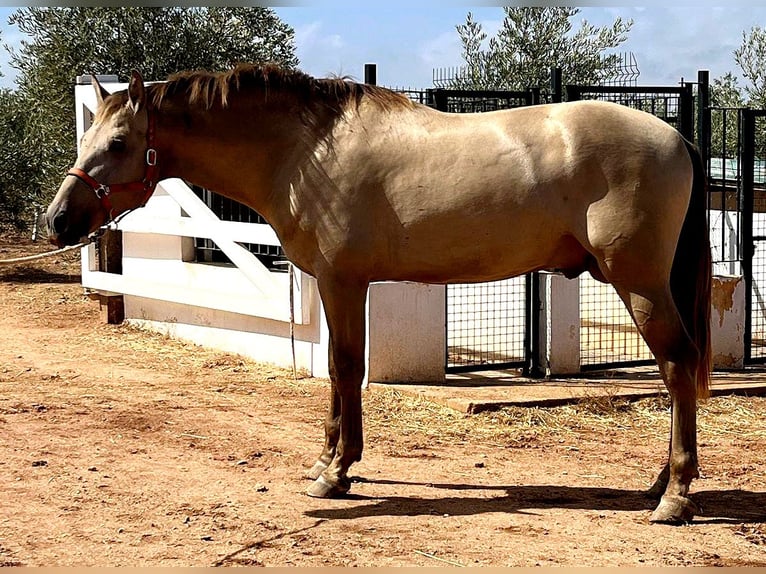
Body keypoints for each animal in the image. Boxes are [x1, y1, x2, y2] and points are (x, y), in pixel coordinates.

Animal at [43, 64, 712, 528]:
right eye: (89, 136)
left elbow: (344, 368)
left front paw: (335, 473)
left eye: (118, 143)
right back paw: (660, 485)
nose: (56, 221)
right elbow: (339, 372)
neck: (306, 151)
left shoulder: (342, 281)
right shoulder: (337, 284)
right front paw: (328, 462)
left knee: (678, 367)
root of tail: (677, 139)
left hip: (639, 284)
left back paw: (675, 497)